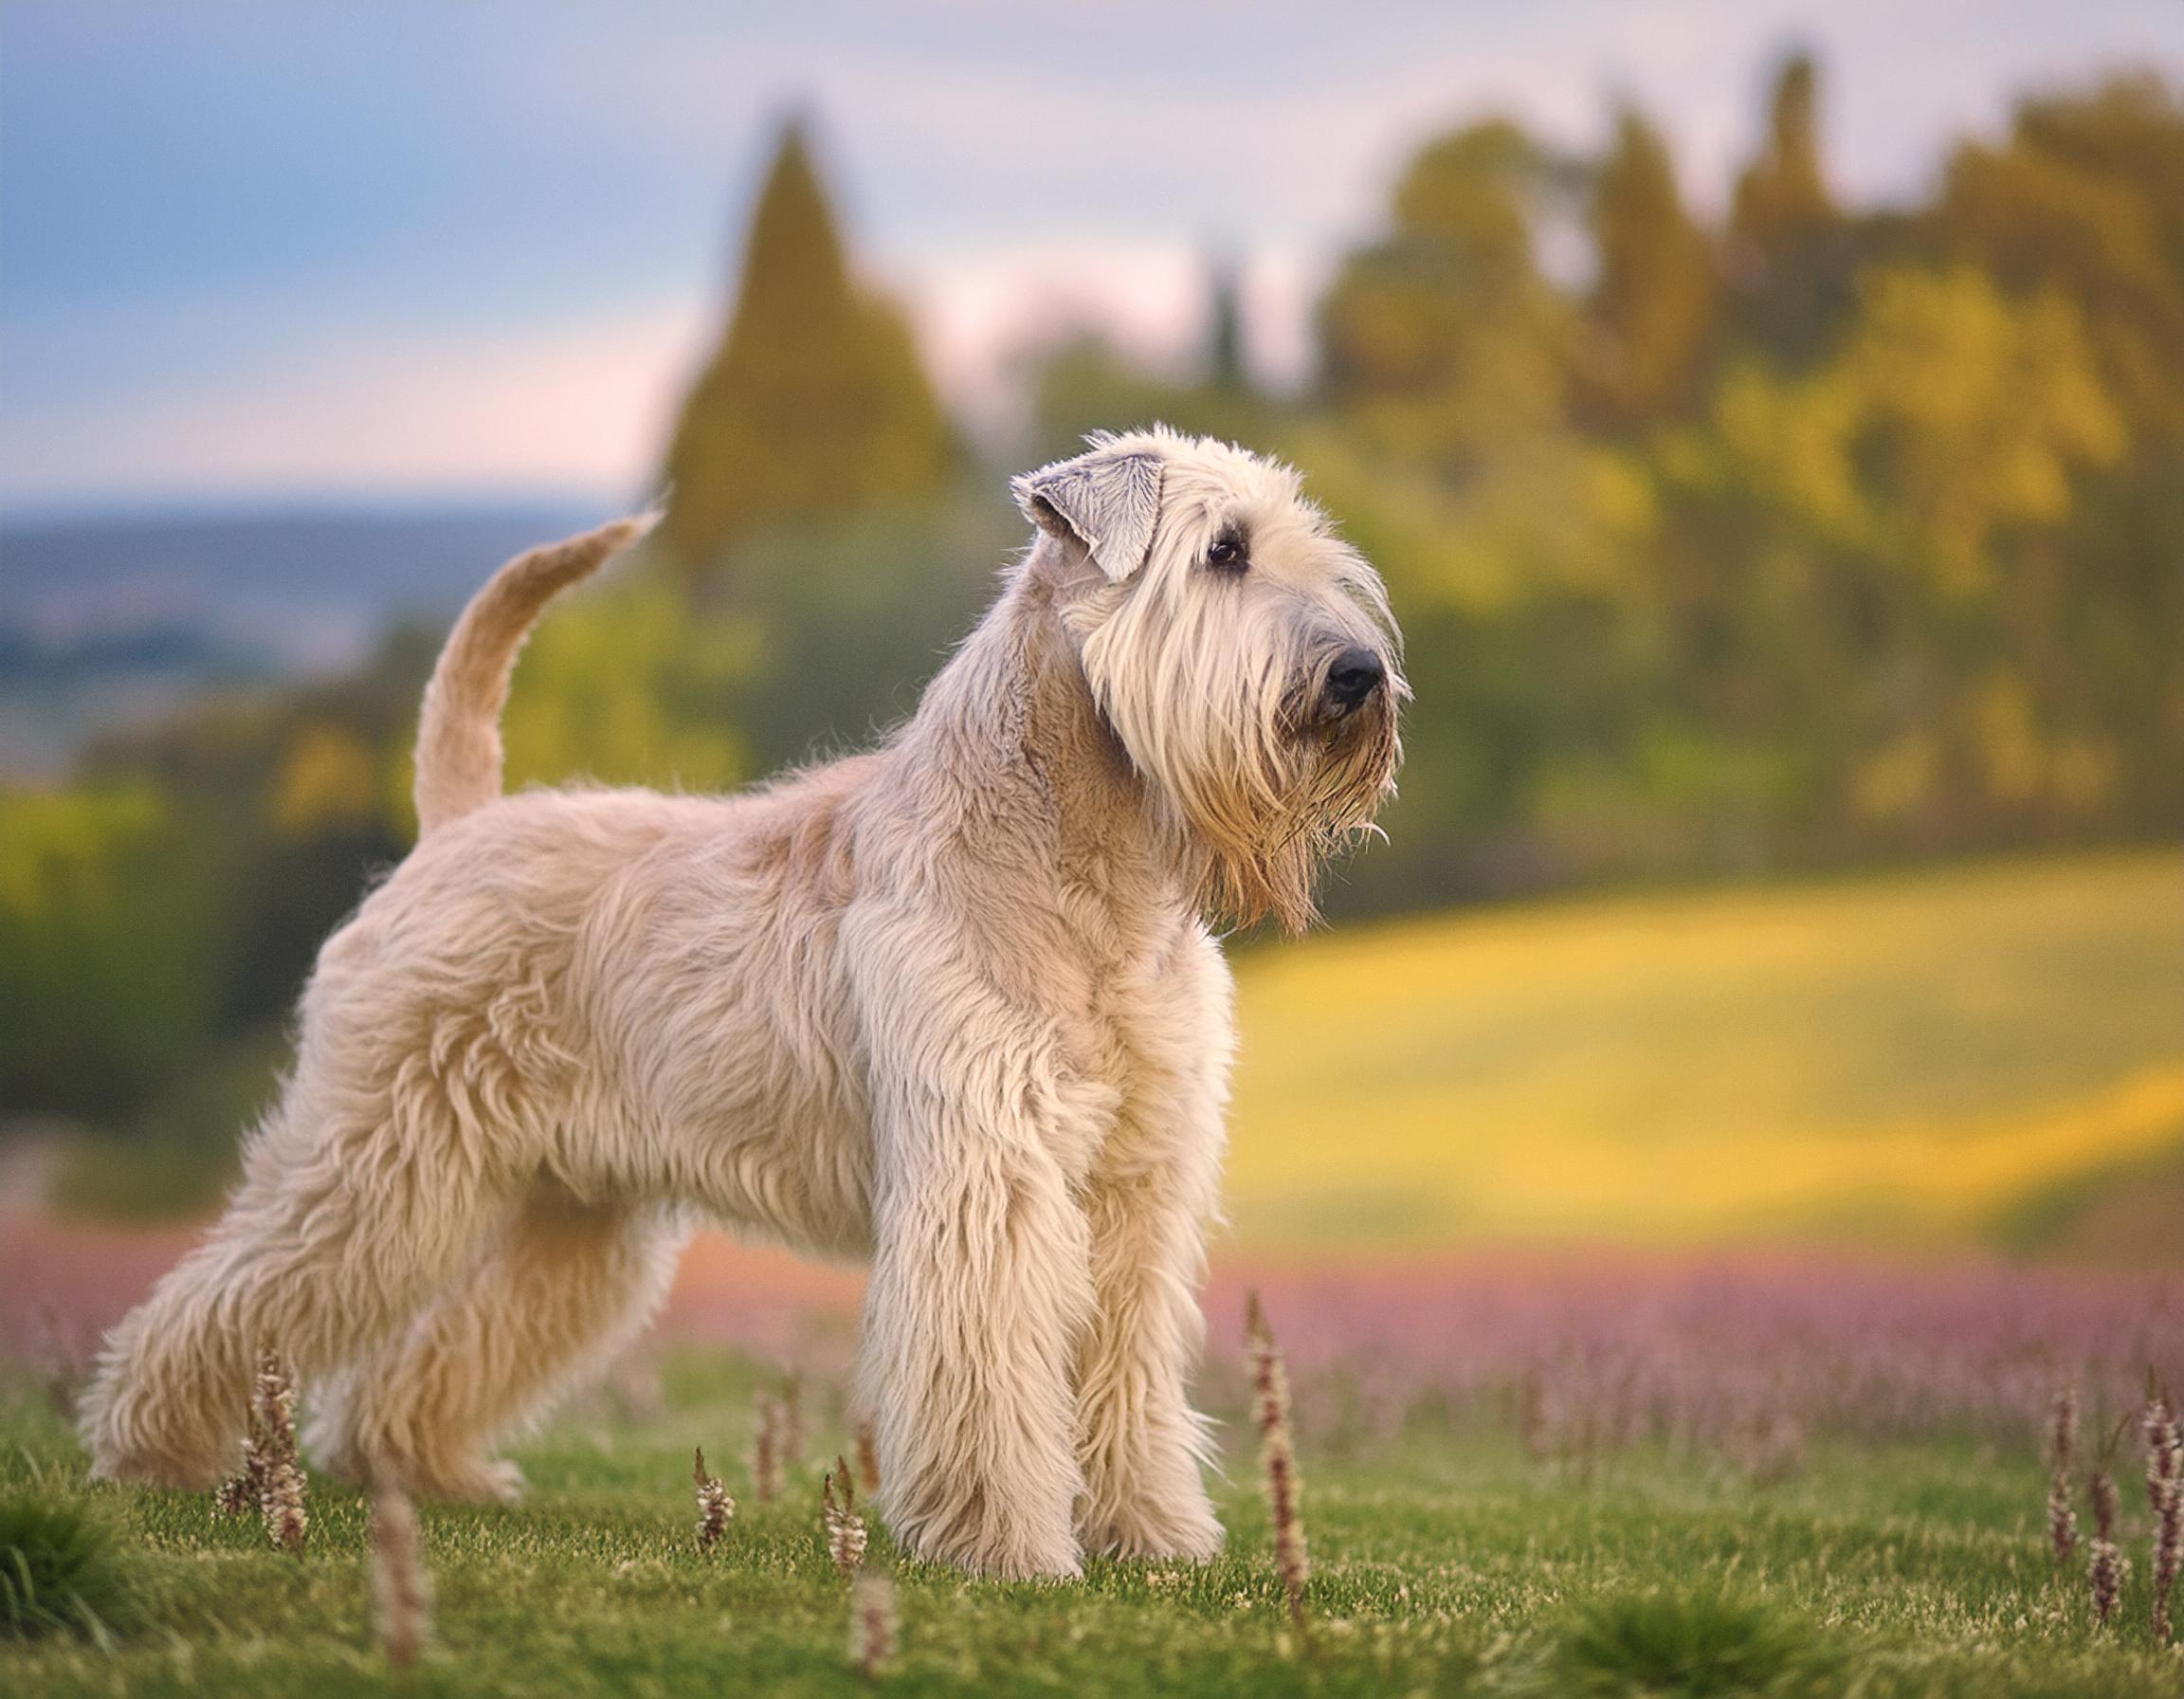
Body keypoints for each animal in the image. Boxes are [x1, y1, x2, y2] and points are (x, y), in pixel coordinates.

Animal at [77, 423, 1406, 1572]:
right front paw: (1004, 1549)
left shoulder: (1134, 1189)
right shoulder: (988, 1178)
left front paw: (1153, 1537)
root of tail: (459, 826)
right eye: (1222, 551)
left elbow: (1123, 1376)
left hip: (576, 1221)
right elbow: (985, 1373)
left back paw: (426, 1468)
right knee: (225, 1297)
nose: (1361, 672)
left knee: (425, 1356)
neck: (1098, 869)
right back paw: (151, 1454)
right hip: (377, 1164)